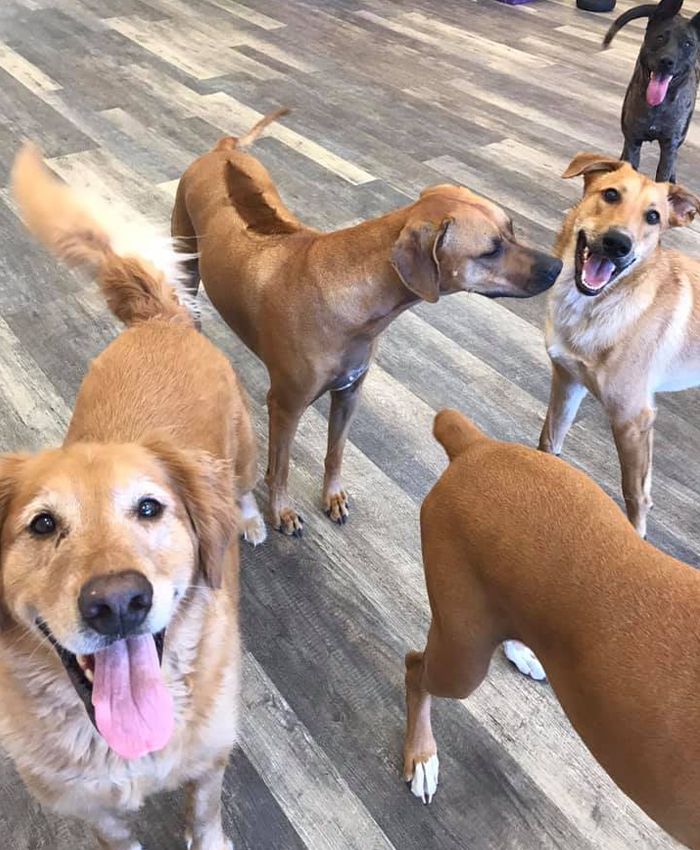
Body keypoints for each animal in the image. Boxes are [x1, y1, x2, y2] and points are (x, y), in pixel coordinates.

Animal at [0, 146, 266, 848]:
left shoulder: (209, 762)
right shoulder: (94, 812)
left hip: (246, 453)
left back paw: (252, 519)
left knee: (246, 489)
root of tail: (160, 316)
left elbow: (205, 816)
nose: (118, 603)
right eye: (42, 525)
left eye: (150, 508)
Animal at [171, 109, 564, 532]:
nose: (558, 267)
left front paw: (332, 496)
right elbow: (280, 469)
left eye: (512, 228)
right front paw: (281, 512)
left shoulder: (349, 393)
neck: (351, 295)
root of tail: (222, 149)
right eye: (490, 250)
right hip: (186, 259)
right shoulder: (285, 406)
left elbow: (336, 451)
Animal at [540, 151, 700, 536]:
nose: (618, 243)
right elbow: (549, 438)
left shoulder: (632, 420)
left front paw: (636, 537)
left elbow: (634, 494)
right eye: (611, 194)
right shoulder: (567, 381)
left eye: (653, 217)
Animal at [600, 0, 700, 181]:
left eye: (688, 44)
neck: (658, 106)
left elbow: (664, 174)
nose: (667, 61)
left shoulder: (669, 147)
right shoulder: (633, 141)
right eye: (660, 37)